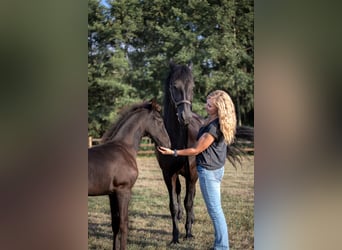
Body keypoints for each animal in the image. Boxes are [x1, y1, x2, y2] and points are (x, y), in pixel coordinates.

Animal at [87, 99, 169, 250]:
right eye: (159, 120)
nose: (168, 144)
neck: (124, 147)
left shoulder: (112, 193)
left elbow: (115, 224)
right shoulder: (123, 191)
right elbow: (123, 224)